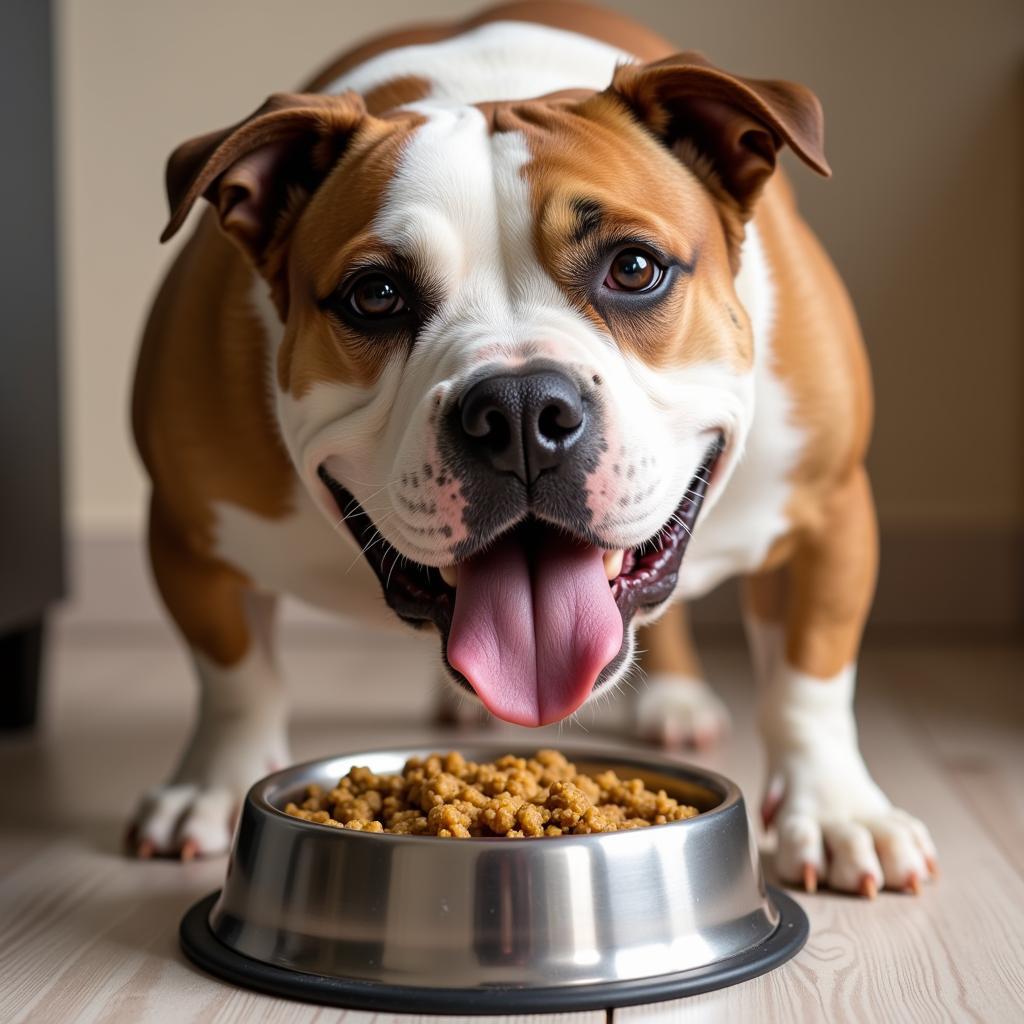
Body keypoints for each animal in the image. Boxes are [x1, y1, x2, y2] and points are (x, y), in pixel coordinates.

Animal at [130, 2, 937, 897]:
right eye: (375, 295)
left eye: (635, 268)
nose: (519, 411)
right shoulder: (187, 531)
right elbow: (234, 673)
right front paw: (213, 784)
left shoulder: (827, 506)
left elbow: (809, 675)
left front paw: (836, 812)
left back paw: (677, 702)